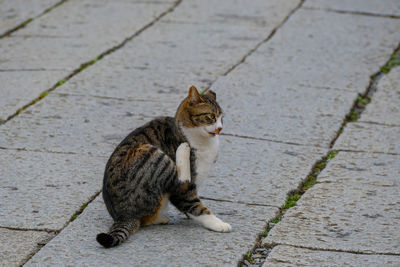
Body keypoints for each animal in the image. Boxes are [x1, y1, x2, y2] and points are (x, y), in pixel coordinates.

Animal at [96, 86, 231, 249]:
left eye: (221, 118)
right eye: (211, 116)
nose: (220, 128)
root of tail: (123, 215)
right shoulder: (182, 192)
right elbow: (196, 207)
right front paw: (219, 224)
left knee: (145, 220)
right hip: (149, 153)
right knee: (179, 181)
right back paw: (183, 150)